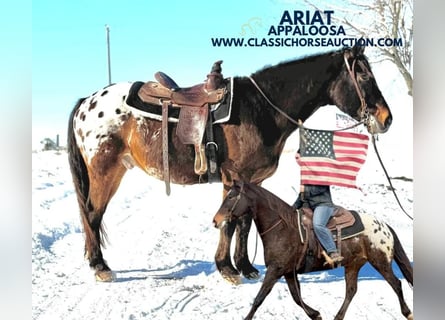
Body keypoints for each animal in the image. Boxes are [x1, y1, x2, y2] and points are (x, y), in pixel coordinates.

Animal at [67, 43, 392, 282]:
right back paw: (100, 266)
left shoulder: (252, 181)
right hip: (104, 171)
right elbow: (229, 223)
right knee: (92, 214)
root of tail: (87, 102)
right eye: (364, 76)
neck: (260, 109)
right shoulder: (234, 177)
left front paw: (245, 266)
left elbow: (244, 223)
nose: (386, 118)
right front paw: (227, 269)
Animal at [212, 181, 412, 318]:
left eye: (231, 197)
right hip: (353, 265)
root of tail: (384, 225)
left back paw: (408, 313)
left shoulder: (275, 270)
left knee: (396, 283)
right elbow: (296, 297)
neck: (283, 228)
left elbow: (259, 298)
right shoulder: (288, 272)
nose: (216, 220)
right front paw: (316, 314)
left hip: (380, 261)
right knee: (351, 290)